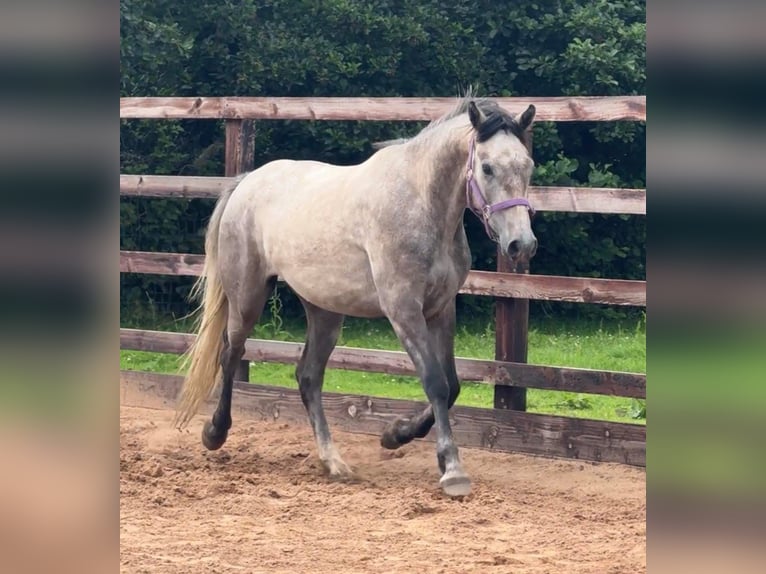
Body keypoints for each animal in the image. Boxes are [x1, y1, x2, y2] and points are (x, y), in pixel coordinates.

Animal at [173, 94, 538, 497]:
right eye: (487, 168)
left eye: (528, 165)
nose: (521, 244)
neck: (421, 204)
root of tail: (246, 182)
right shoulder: (403, 309)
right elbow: (436, 383)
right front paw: (452, 469)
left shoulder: (441, 309)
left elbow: (453, 384)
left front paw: (395, 435)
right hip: (247, 296)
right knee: (231, 354)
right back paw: (215, 433)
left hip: (324, 310)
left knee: (308, 377)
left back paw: (333, 462)